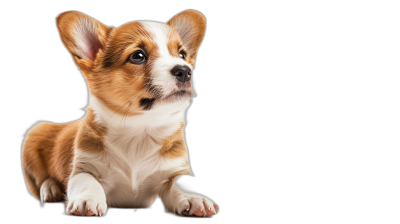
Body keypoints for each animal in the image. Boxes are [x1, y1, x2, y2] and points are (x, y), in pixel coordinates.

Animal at [21, 9, 219, 218]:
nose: (185, 71)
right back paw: (51, 189)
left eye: (182, 54)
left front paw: (194, 198)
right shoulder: (84, 168)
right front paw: (87, 200)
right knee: (41, 181)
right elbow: (87, 182)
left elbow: (178, 183)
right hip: (34, 137)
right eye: (138, 56)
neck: (140, 127)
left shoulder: (172, 170)